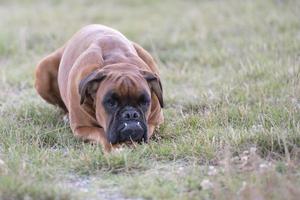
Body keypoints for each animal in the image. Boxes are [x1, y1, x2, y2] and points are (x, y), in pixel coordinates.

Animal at [35, 24, 164, 152]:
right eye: (111, 103)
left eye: (144, 102)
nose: (130, 114)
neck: (116, 62)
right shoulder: (81, 127)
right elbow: (101, 133)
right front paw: (116, 147)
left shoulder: (155, 121)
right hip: (42, 71)